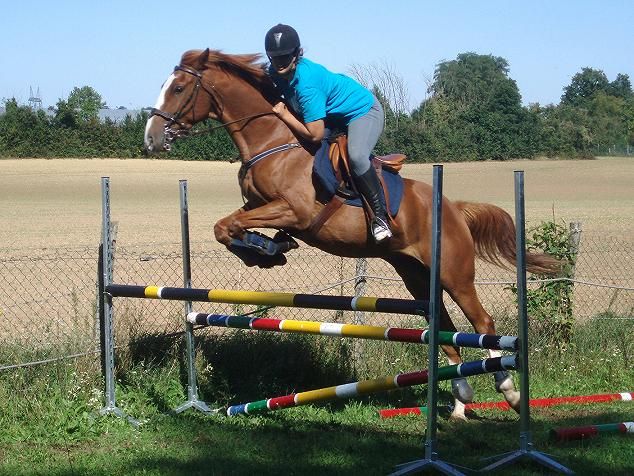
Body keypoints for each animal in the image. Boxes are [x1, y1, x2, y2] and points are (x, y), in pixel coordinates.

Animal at [144, 48, 561, 420]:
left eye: (178, 88)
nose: (151, 138)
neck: (272, 142)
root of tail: (454, 207)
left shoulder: (294, 210)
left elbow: (230, 225)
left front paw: (262, 249)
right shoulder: (259, 207)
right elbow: (226, 226)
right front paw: (266, 250)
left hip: (453, 272)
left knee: (482, 325)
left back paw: (508, 390)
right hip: (416, 275)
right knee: (443, 325)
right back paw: (460, 400)